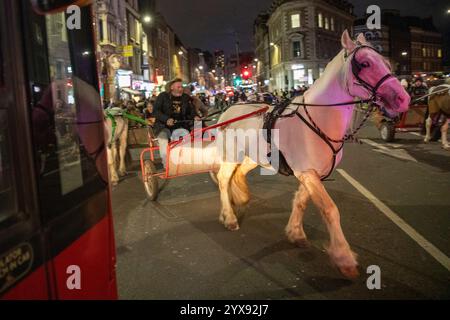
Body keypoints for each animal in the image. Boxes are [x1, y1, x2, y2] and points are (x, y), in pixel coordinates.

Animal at [214, 30, 412, 280]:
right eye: (365, 63)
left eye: (386, 63)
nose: (403, 99)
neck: (318, 119)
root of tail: (228, 110)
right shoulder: (307, 172)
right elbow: (330, 209)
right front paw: (344, 257)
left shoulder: (311, 173)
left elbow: (300, 201)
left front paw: (295, 233)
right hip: (231, 155)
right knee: (223, 179)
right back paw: (229, 217)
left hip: (253, 157)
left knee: (238, 174)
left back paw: (240, 198)